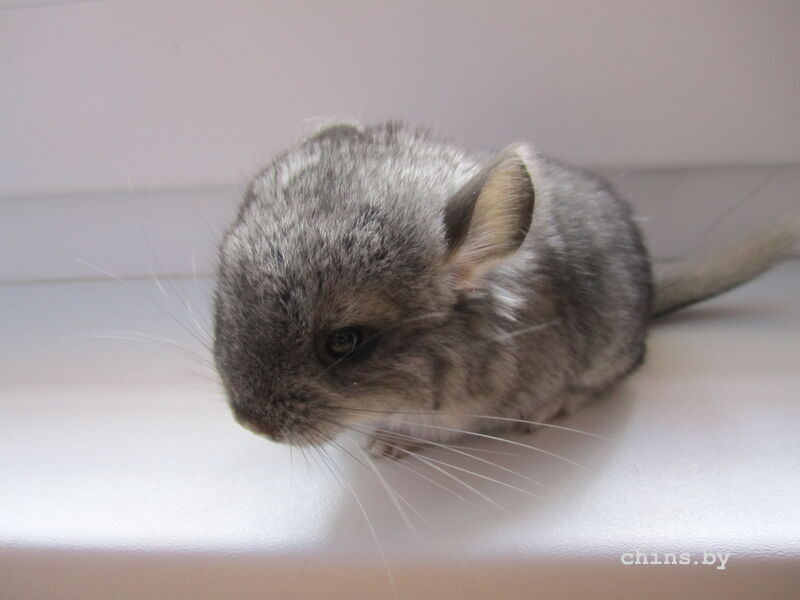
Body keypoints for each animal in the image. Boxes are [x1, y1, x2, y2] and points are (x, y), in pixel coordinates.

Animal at [212, 121, 798, 456]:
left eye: (345, 341)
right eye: (224, 297)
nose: (248, 422)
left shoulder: (463, 414)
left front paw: (385, 444)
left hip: (612, 355)